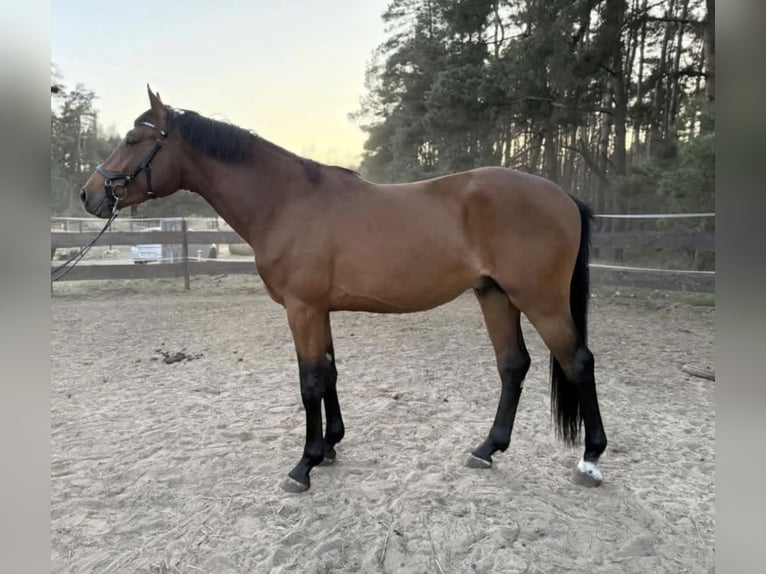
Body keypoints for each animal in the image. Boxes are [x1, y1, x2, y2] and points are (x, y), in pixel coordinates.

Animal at [80, 87, 608, 493]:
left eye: (132, 139)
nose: (90, 194)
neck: (286, 201)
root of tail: (563, 196)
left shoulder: (302, 309)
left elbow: (310, 381)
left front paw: (305, 464)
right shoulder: (320, 310)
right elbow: (330, 372)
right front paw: (332, 445)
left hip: (540, 301)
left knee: (578, 362)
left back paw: (590, 459)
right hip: (494, 295)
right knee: (513, 365)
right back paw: (486, 449)